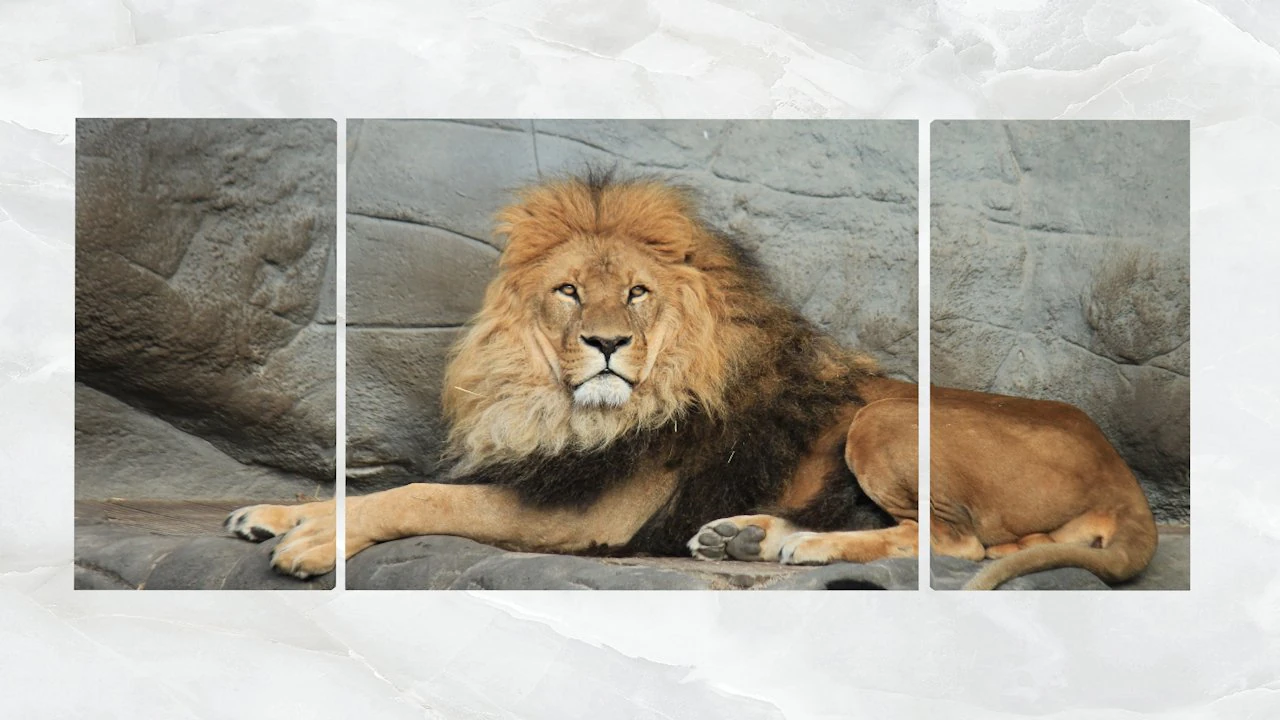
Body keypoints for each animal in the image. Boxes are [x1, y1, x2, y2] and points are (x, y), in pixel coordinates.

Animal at [225, 171, 1157, 590]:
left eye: (638, 292)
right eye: (570, 291)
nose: (606, 343)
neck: (563, 411)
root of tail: (1123, 473)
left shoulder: (589, 513)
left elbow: (419, 496)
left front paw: (312, 541)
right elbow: (384, 486)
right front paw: (277, 511)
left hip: (884, 421)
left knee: (960, 542)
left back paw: (797, 544)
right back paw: (746, 535)